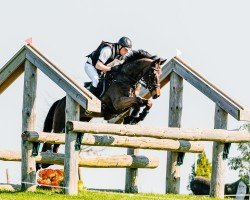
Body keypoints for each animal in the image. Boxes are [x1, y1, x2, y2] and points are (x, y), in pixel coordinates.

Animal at [37, 49, 166, 168]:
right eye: (153, 74)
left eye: (160, 74)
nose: (157, 94)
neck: (126, 78)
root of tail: (59, 101)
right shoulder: (118, 103)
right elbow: (138, 101)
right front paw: (135, 117)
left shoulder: (127, 103)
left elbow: (143, 102)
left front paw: (134, 118)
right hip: (59, 125)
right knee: (50, 142)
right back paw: (43, 162)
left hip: (81, 121)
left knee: (55, 147)